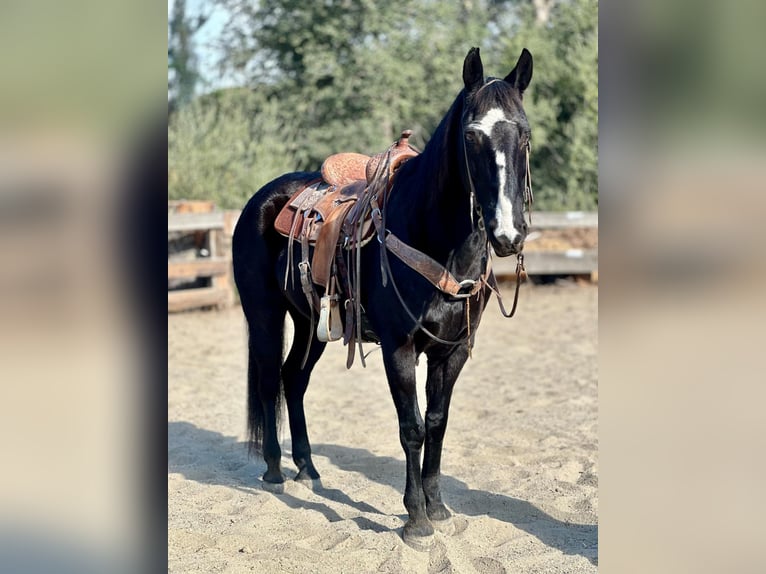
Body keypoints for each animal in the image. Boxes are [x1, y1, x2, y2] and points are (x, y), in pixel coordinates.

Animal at [232, 46, 533, 550]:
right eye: (471, 135)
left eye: (524, 133)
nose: (508, 235)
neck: (435, 238)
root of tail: (262, 198)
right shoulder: (399, 347)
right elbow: (411, 427)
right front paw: (415, 519)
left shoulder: (453, 351)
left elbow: (437, 422)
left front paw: (438, 506)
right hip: (266, 316)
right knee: (270, 379)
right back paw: (275, 469)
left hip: (311, 323)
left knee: (294, 380)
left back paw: (308, 468)